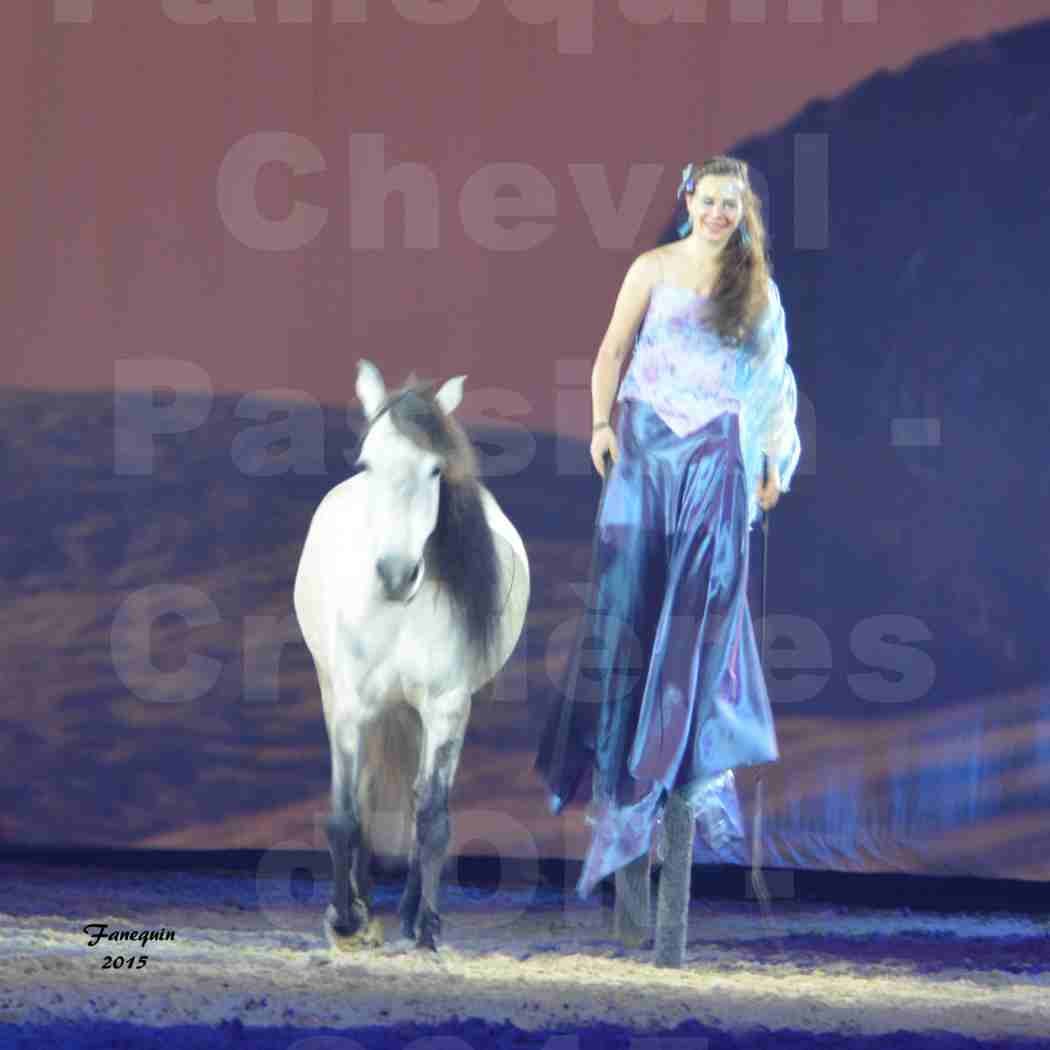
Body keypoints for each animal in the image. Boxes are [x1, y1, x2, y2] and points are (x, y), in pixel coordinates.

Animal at [294, 359, 525, 953]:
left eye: (436, 471)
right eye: (368, 464)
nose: (397, 575)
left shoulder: (446, 707)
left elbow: (432, 817)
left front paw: (427, 925)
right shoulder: (351, 706)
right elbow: (346, 813)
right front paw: (344, 918)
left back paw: (402, 912)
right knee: (368, 791)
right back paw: (362, 905)